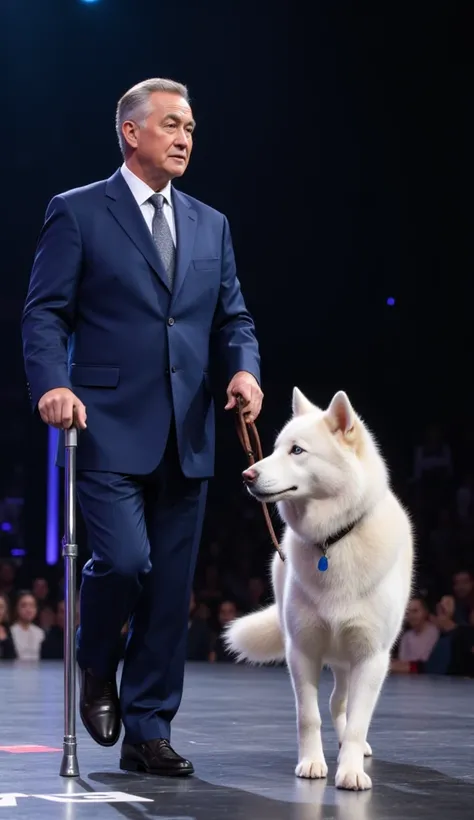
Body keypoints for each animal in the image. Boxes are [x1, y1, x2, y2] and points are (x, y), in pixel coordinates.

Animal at [224, 388, 412, 792]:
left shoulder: (371, 658)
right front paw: (312, 764)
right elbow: (308, 716)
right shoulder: (302, 651)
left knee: (342, 704)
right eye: (275, 449)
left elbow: (358, 721)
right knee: (334, 702)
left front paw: (351, 770)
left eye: (297, 451)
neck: (333, 540)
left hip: (350, 661)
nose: (247, 474)